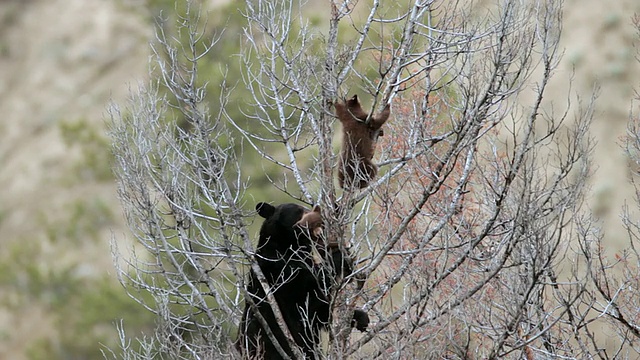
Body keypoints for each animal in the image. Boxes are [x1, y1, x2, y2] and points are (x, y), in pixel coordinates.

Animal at [239, 202, 370, 360]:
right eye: (298, 210)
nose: (319, 217)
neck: (287, 246)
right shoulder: (278, 271)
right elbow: (311, 282)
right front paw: (340, 258)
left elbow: (320, 309)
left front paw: (360, 318)